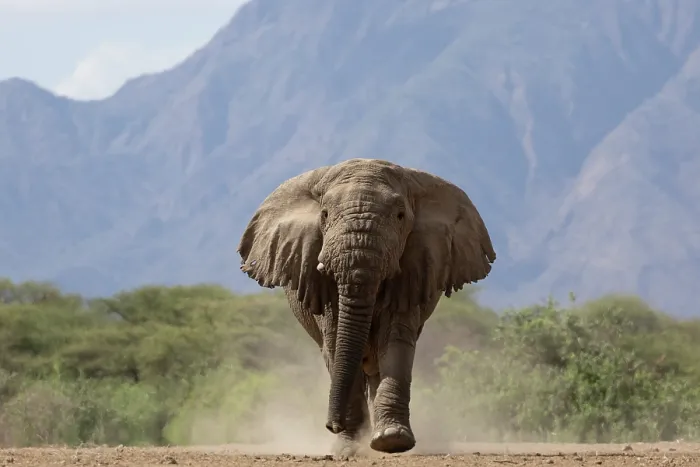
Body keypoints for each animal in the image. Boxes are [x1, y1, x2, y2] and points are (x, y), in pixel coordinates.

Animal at [237, 158, 496, 456]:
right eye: (324, 214)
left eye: (400, 216)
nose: (331, 425)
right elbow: (336, 342)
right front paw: (348, 449)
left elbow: (394, 341)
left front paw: (392, 440)